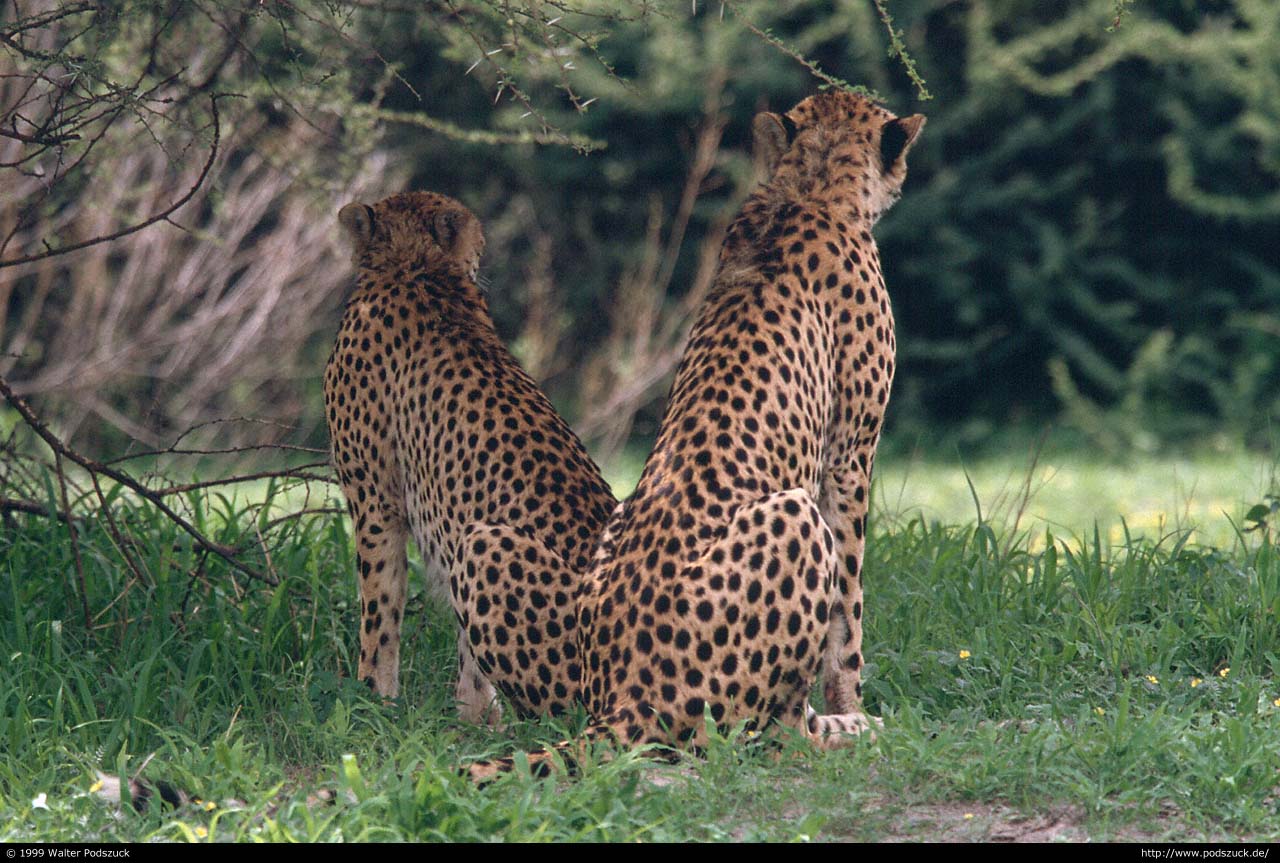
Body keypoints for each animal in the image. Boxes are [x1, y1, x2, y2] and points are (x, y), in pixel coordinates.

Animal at [323, 190, 617, 723]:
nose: (482, 257)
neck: (417, 269)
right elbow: (467, 657)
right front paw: (475, 720)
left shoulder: (376, 502)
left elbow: (379, 607)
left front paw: (371, 697)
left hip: (485, 544)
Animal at [455, 91, 925, 780]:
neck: (808, 186)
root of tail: (622, 700)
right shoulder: (849, 456)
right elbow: (851, 606)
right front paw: (853, 702)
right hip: (792, 512)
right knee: (773, 736)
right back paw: (849, 730)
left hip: (500, 539)